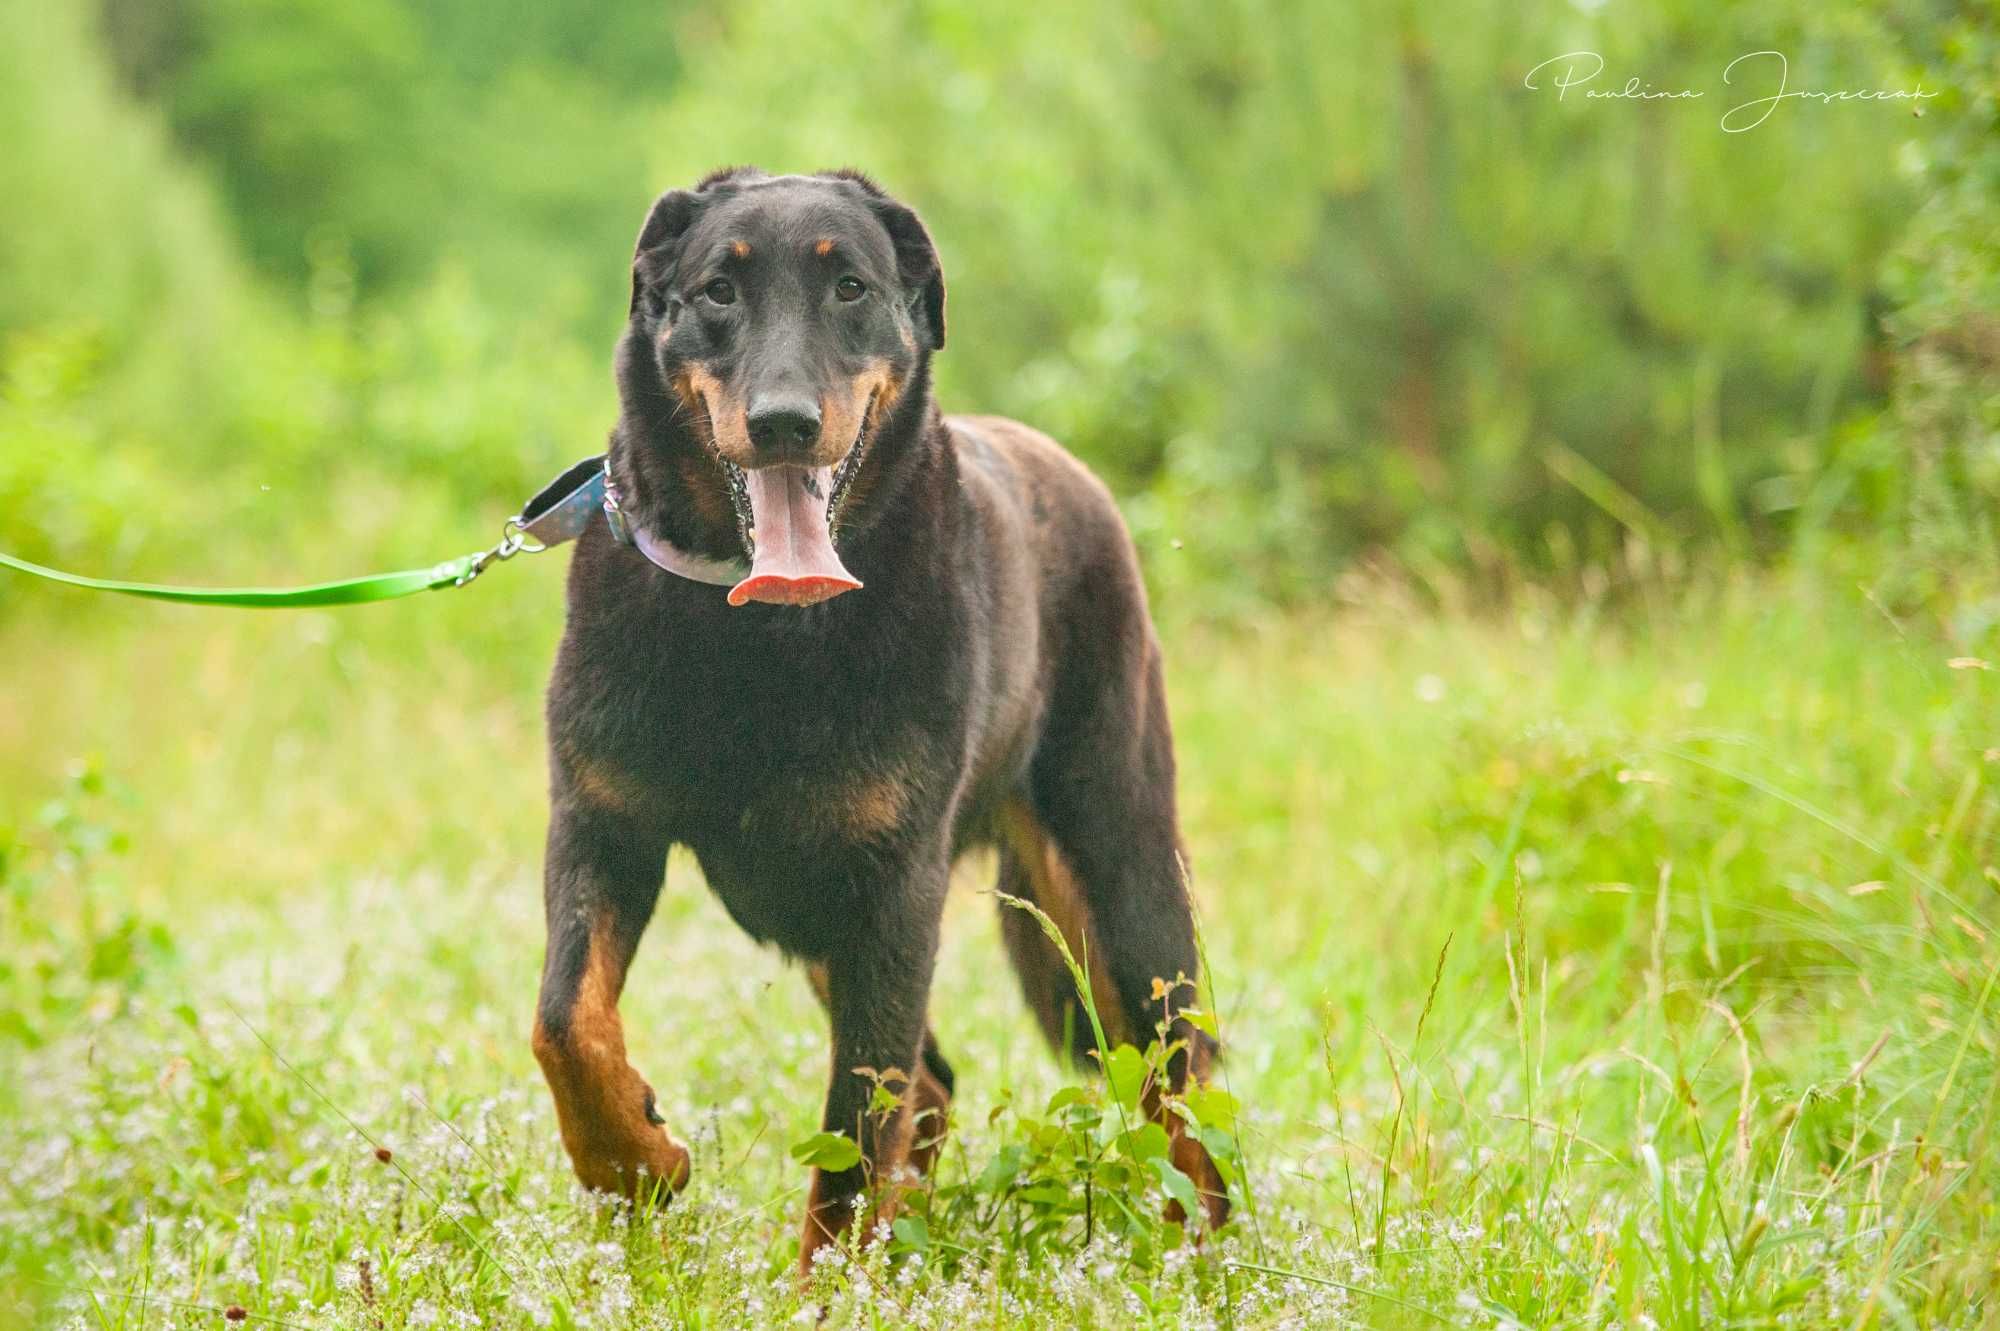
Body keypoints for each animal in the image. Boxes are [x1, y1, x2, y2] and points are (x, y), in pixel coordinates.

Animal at [532, 168, 1224, 1263]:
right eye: (718, 291)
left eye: (850, 286)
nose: (781, 421)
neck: (755, 632)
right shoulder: (601, 826)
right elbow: (565, 1018)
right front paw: (629, 1157)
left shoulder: (893, 886)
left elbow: (857, 1121)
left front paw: (824, 1282)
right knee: (936, 1081)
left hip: (1118, 870)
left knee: (1179, 1088)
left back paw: (1194, 1251)